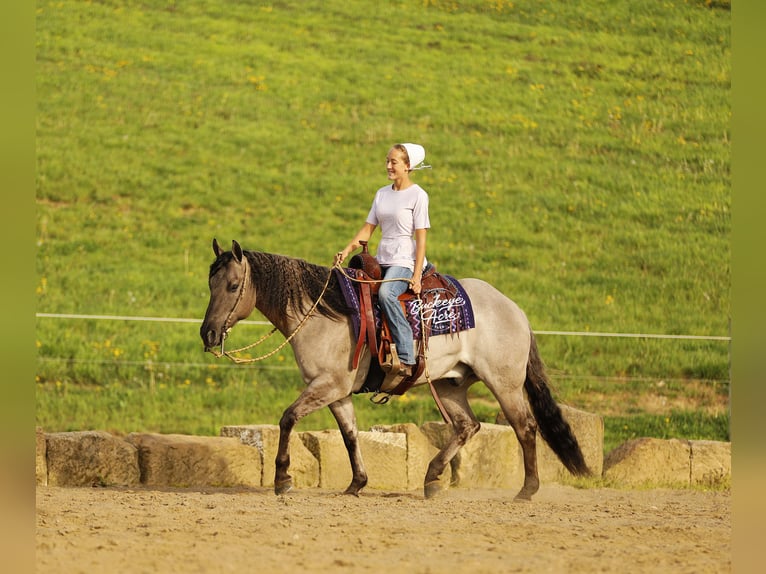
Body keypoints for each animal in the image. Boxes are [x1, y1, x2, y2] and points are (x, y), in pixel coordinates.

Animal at [200, 239, 590, 501]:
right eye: (210, 284)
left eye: (232, 286)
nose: (208, 334)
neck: (324, 313)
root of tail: (515, 310)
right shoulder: (336, 392)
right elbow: (350, 435)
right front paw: (356, 484)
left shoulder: (328, 385)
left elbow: (288, 418)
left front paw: (282, 478)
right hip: (449, 384)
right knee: (468, 426)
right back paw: (432, 478)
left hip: (504, 383)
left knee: (525, 427)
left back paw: (527, 489)